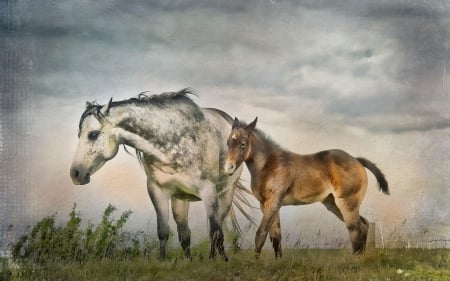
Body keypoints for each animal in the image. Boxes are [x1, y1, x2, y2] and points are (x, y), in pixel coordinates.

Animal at [69, 89, 250, 260]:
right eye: (79, 134)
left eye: (93, 134)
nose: (75, 174)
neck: (173, 141)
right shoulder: (157, 190)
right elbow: (163, 231)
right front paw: (164, 261)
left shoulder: (209, 192)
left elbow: (215, 232)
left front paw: (216, 261)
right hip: (180, 199)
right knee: (185, 234)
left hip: (226, 194)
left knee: (218, 228)